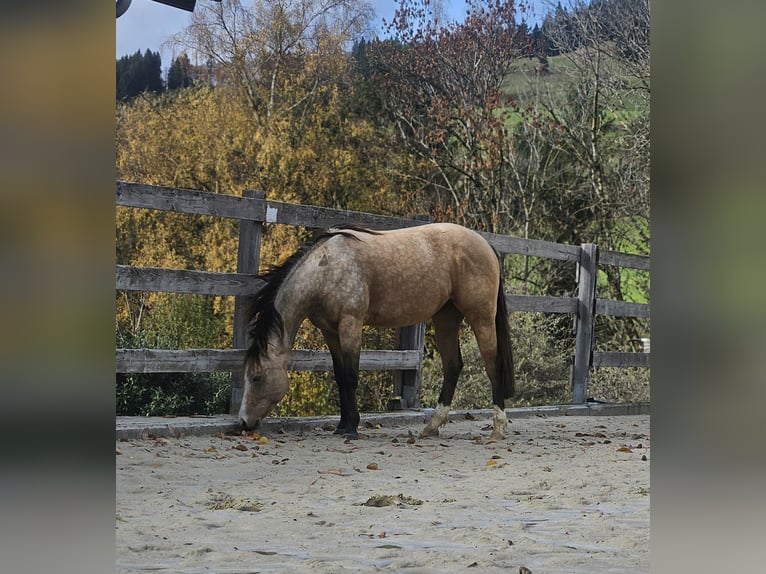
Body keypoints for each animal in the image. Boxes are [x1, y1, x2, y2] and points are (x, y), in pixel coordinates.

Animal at [238, 222, 515, 440]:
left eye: (257, 377)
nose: (244, 423)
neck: (326, 268)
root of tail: (486, 244)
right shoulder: (330, 332)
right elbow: (340, 377)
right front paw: (342, 426)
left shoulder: (350, 324)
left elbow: (351, 376)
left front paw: (352, 429)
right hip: (446, 318)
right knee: (453, 366)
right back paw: (432, 427)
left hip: (481, 317)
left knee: (493, 364)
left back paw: (498, 428)